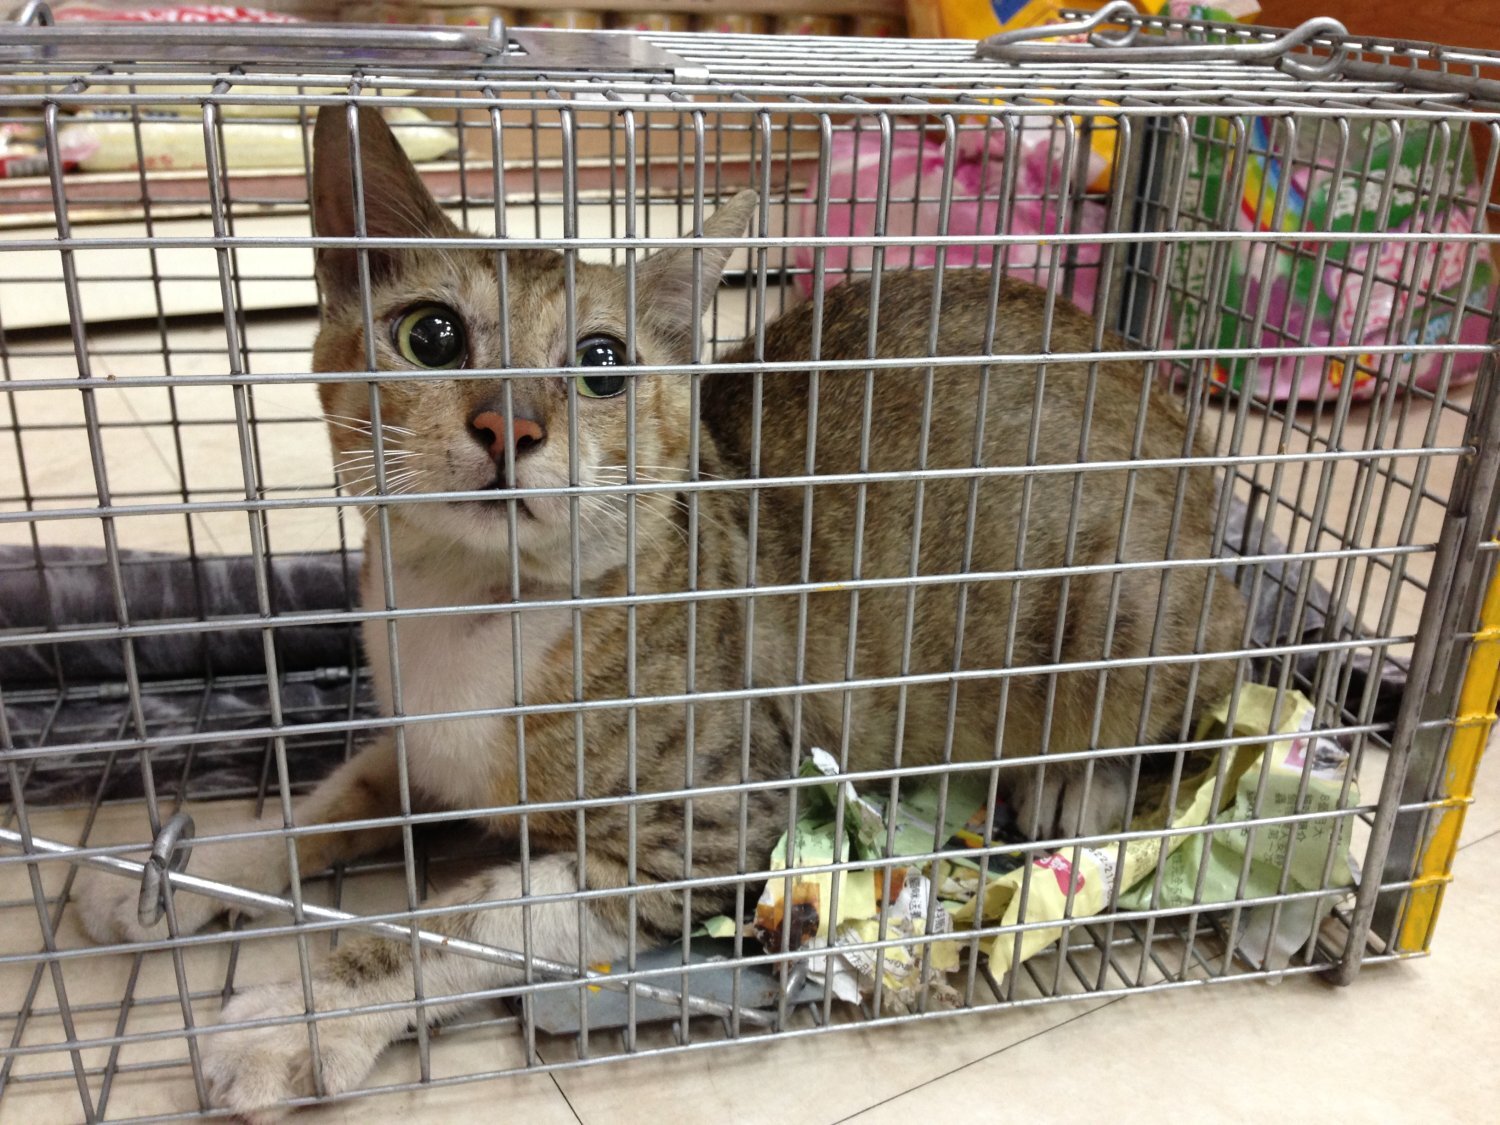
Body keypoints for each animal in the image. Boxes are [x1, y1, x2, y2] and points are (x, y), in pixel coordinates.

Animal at [74, 105, 1247, 1119]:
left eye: (602, 365)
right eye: (433, 335)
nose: (510, 423)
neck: (468, 612)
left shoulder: (716, 825)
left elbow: (460, 919)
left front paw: (299, 1017)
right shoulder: (418, 742)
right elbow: (322, 806)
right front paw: (174, 874)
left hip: (1129, 614)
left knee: (1167, 709)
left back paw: (1073, 789)